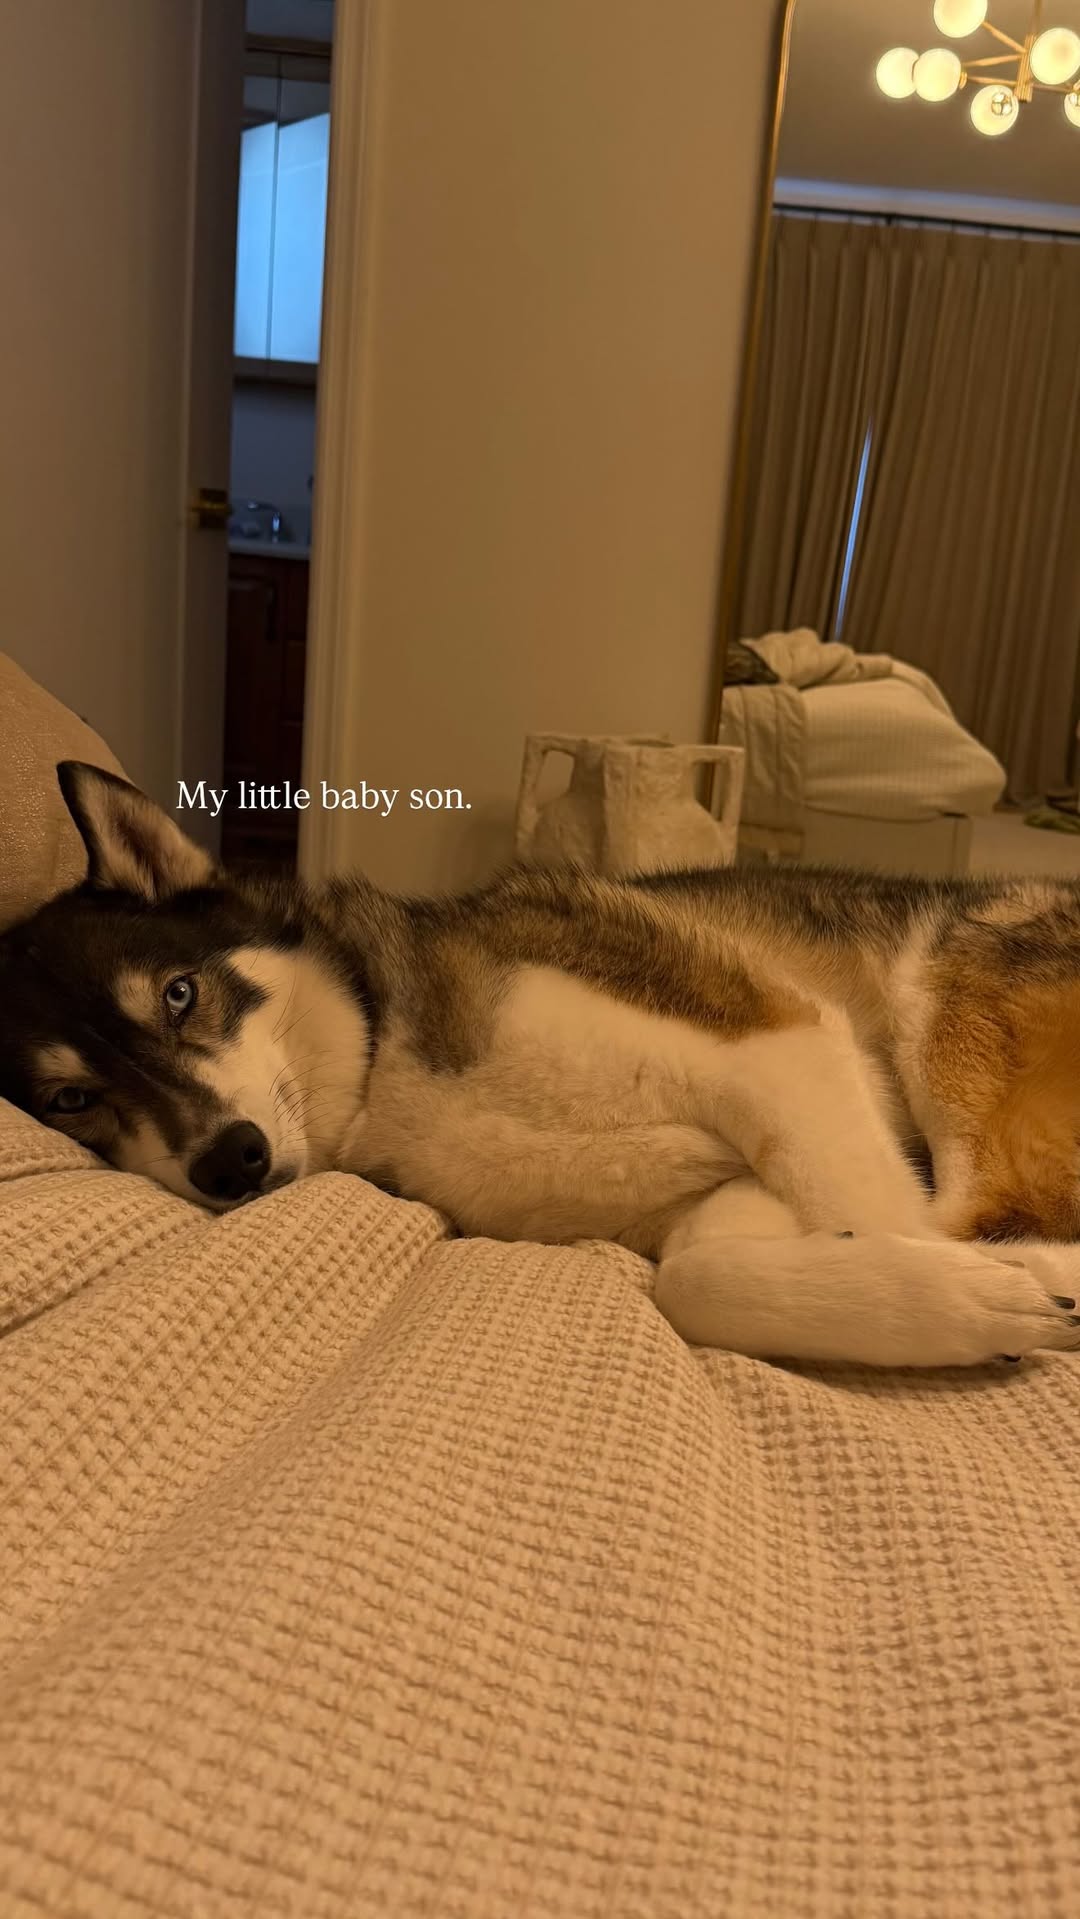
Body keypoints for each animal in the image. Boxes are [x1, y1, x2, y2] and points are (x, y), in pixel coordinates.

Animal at [2, 760, 1080, 1372]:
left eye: (179, 994)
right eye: (73, 1097)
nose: (230, 1160)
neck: (387, 1063)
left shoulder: (780, 1039)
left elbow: (886, 1213)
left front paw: (984, 1296)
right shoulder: (726, 1182)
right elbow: (698, 1277)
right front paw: (956, 1303)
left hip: (945, 996)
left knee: (977, 1202)